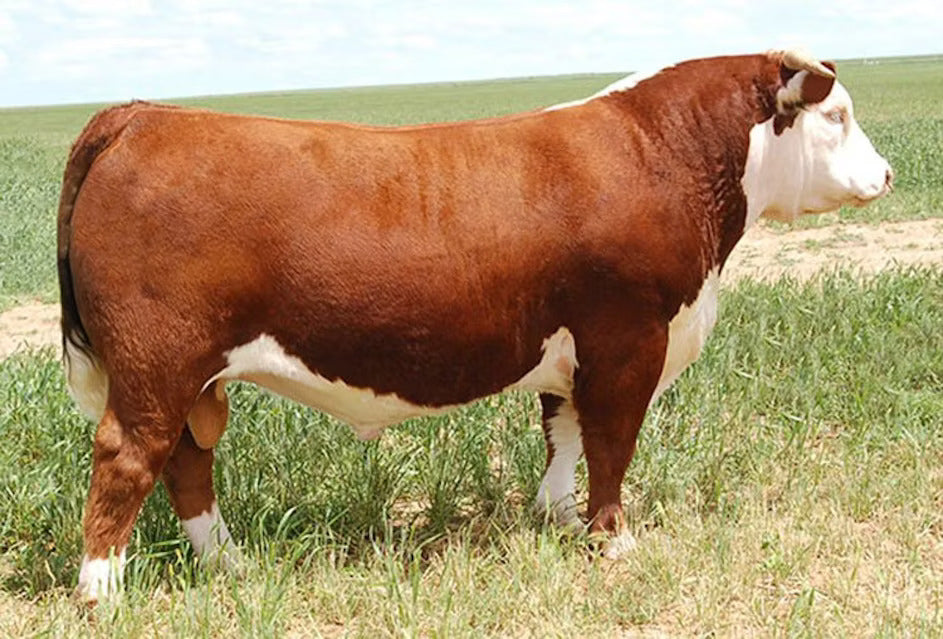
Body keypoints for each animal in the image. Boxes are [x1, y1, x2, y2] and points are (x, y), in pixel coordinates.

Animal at [57, 50, 892, 602]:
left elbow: (561, 430)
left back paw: (226, 562)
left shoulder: (570, 349)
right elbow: (611, 441)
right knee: (128, 455)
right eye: (837, 115)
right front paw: (611, 539)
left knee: (186, 461)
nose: (886, 174)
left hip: (190, 377)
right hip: (157, 361)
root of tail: (143, 114)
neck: (663, 154)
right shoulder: (628, 339)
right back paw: (101, 591)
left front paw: (555, 515)